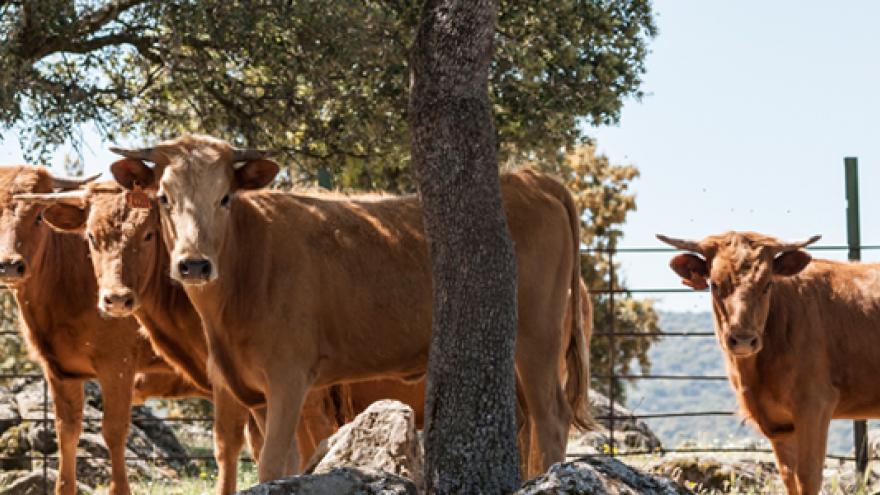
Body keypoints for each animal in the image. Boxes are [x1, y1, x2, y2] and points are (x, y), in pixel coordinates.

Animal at [656, 232, 880, 495]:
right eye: (715, 285)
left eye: (767, 284)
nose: (743, 339)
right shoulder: (778, 424)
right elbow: (789, 477)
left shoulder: (815, 405)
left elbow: (808, 477)